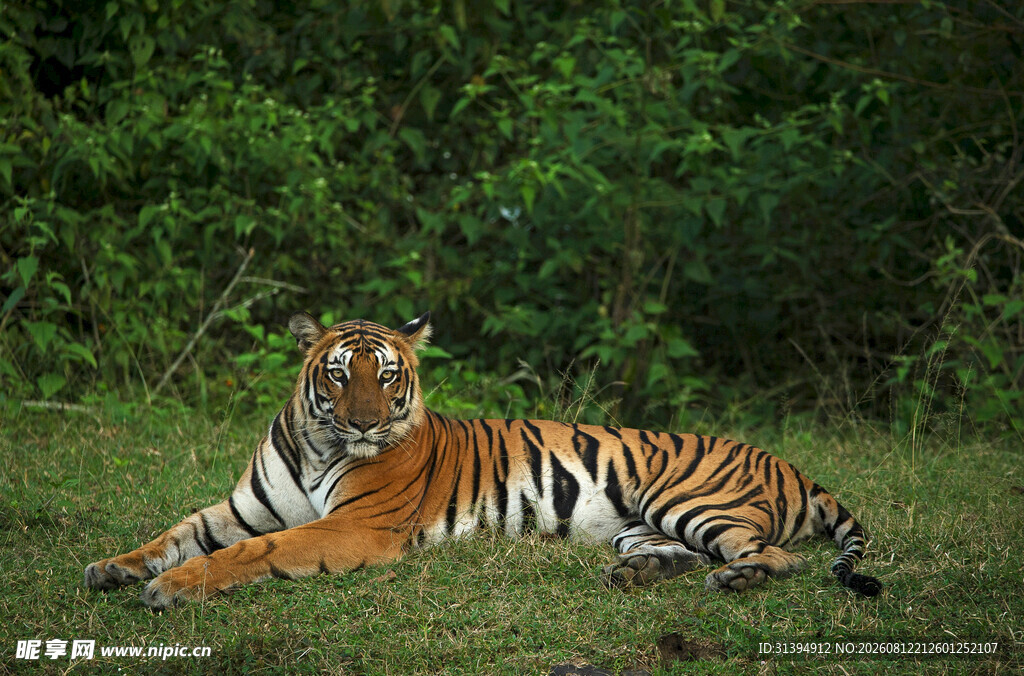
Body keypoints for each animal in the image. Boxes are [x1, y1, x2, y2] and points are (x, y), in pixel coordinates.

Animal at [84, 312, 881, 610]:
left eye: (389, 376)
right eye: (338, 375)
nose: (366, 422)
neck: (320, 442)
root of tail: (794, 467)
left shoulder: (355, 528)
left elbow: (257, 552)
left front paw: (170, 589)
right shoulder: (240, 508)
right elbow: (175, 534)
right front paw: (113, 569)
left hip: (690, 499)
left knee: (780, 556)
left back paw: (740, 577)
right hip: (639, 523)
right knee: (678, 554)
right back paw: (636, 575)